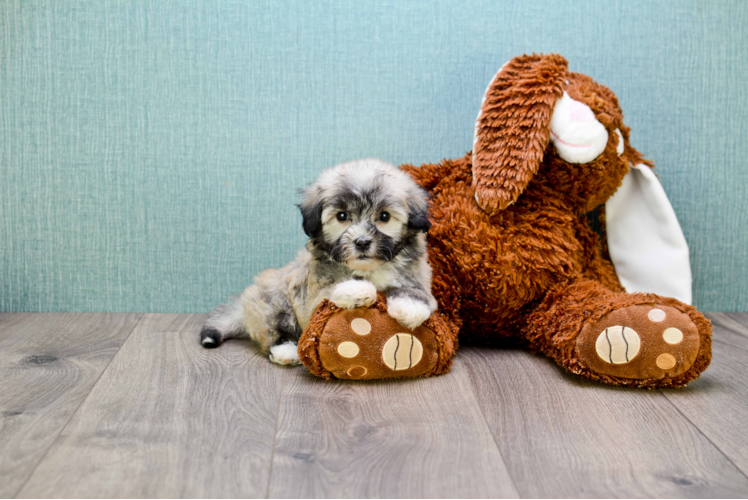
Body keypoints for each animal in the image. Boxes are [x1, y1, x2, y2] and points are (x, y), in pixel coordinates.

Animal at [202, 158, 442, 366]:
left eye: (384, 216)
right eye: (342, 216)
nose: (362, 242)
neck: (367, 269)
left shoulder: (416, 276)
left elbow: (417, 292)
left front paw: (410, 307)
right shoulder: (313, 298)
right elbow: (332, 289)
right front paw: (359, 288)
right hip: (273, 302)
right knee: (273, 328)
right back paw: (285, 350)